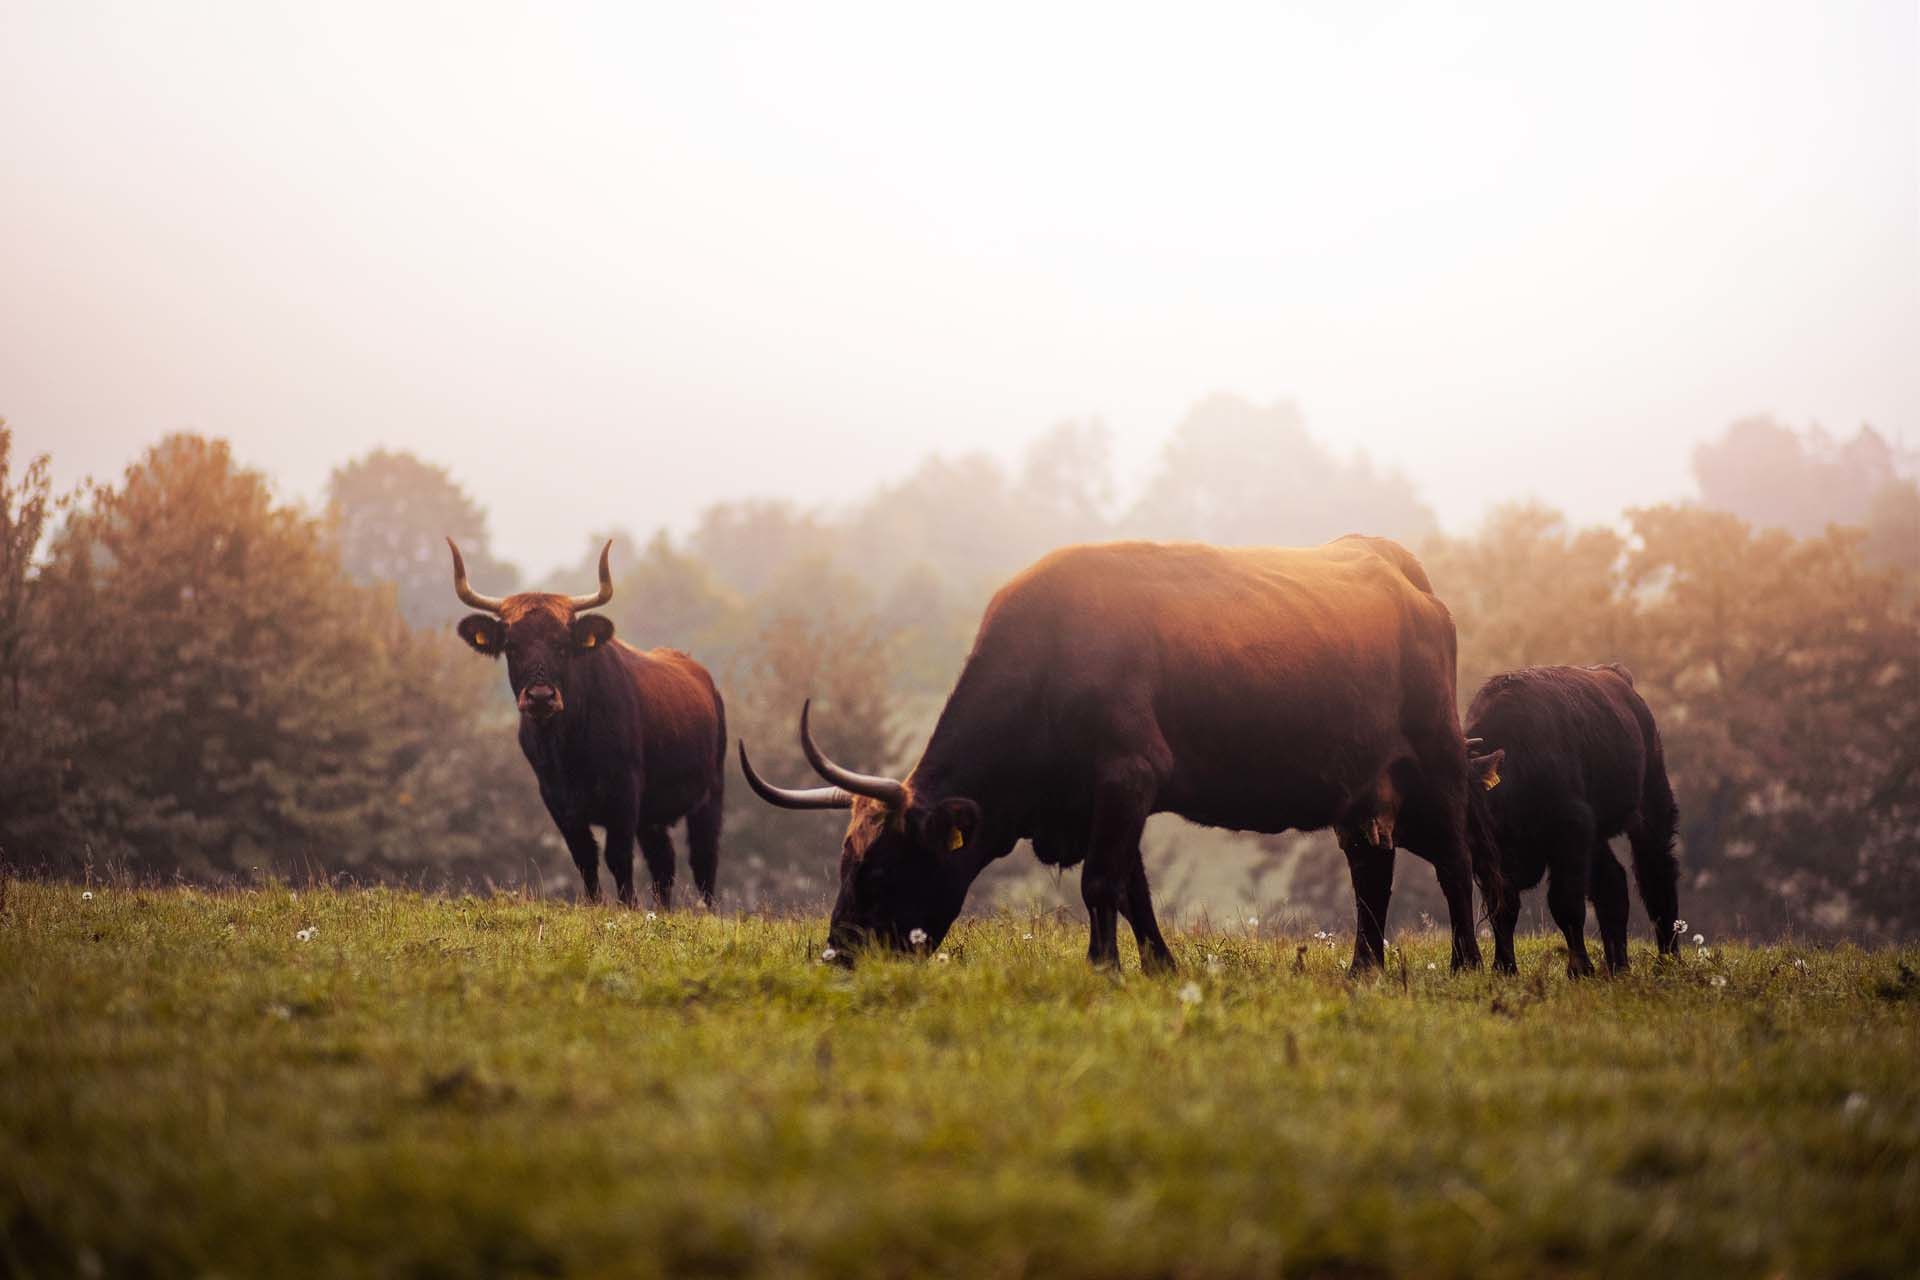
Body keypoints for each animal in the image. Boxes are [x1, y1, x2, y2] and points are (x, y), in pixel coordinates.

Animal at [449, 541, 725, 909]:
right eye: (511, 646)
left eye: (562, 645)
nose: (540, 697)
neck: (569, 748)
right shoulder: (558, 801)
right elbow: (585, 858)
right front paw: (596, 904)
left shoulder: (624, 796)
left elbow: (618, 857)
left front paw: (628, 907)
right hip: (654, 815)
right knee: (663, 862)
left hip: (710, 794)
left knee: (703, 858)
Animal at [741, 537, 1489, 971]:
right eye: (845, 862)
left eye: (879, 870)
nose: (837, 955)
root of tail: (1403, 572)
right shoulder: (1104, 799)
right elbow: (1134, 890)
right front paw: (1159, 968)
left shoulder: (1128, 775)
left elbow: (1101, 882)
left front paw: (1105, 970)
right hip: (1361, 795)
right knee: (1371, 872)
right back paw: (1364, 971)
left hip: (1440, 767)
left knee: (1456, 865)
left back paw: (1475, 965)